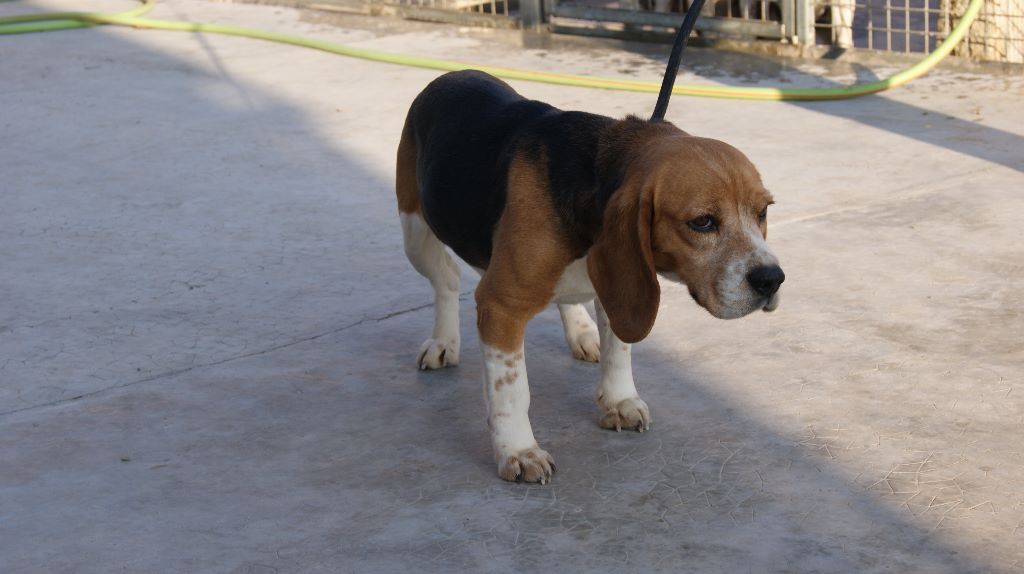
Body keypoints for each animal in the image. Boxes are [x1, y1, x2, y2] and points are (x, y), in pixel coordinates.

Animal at [395, 70, 783, 483]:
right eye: (702, 222)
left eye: (763, 211)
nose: (772, 280)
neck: (594, 175)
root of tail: (452, 75)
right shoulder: (500, 305)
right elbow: (512, 389)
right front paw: (518, 450)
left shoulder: (619, 287)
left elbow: (619, 349)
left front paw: (619, 399)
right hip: (415, 234)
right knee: (447, 279)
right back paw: (443, 341)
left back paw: (582, 333)